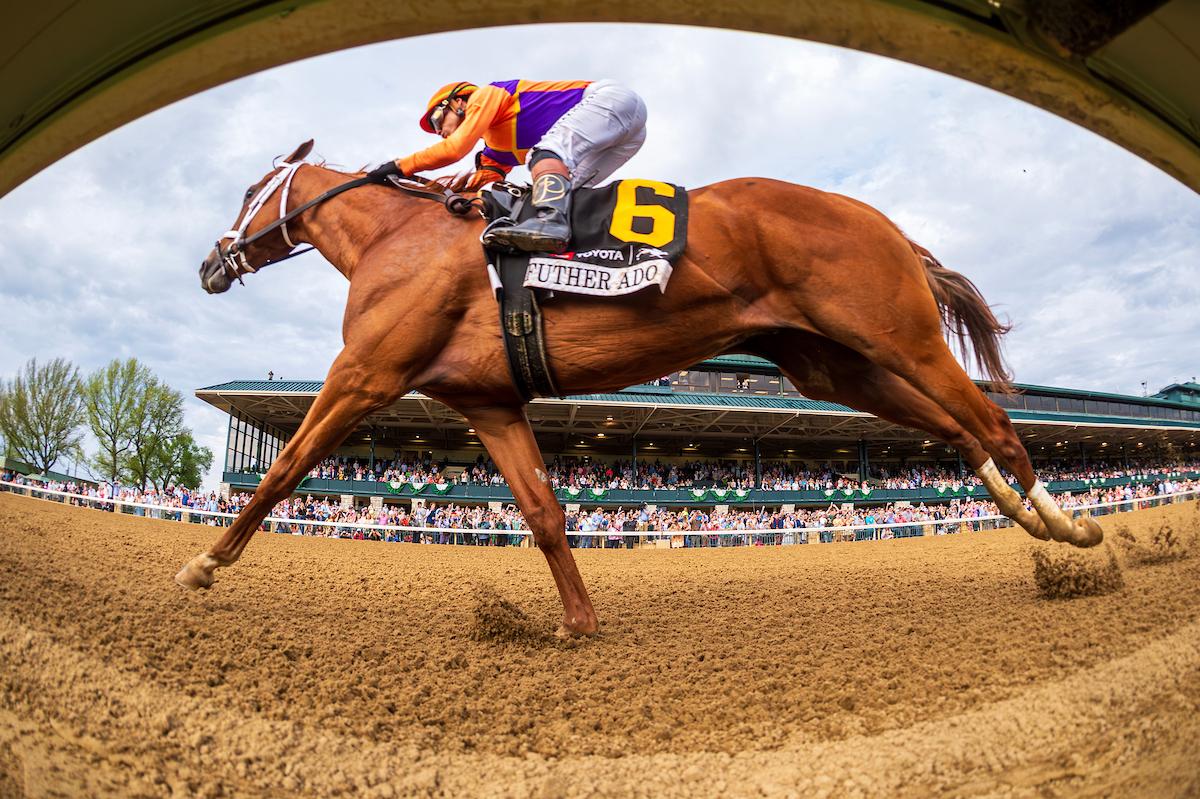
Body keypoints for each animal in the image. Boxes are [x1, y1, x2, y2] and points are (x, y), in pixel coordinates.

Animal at [178, 139, 1102, 636]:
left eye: (248, 192)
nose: (210, 263)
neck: (396, 240)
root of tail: (886, 224)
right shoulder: (489, 403)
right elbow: (544, 512)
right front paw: (578, 620)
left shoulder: (365, 374)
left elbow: (282, 469)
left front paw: (203, 563)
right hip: (831, 363)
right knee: (961, 427)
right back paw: (1018, 508)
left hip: (896, 334)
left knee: (994, 418)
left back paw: (1066, 524)